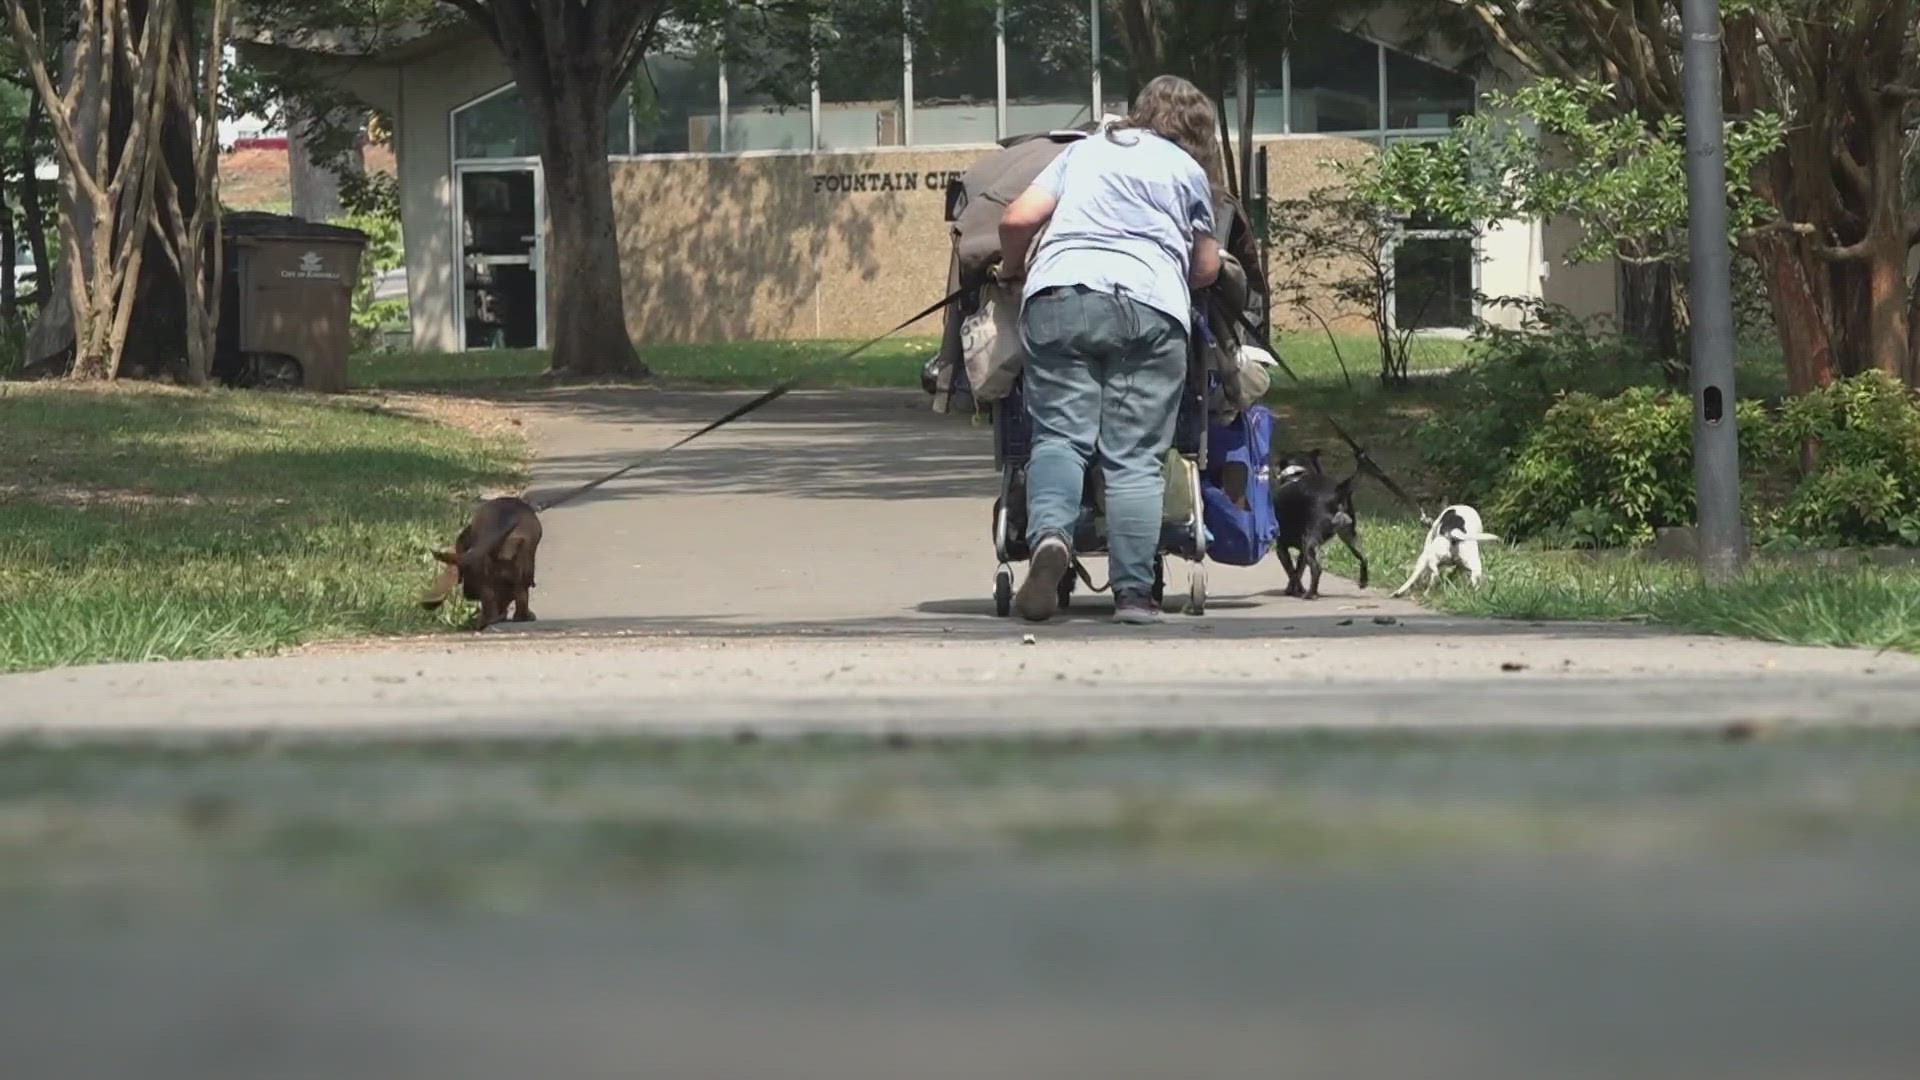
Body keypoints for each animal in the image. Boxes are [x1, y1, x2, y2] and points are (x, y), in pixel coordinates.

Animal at [1274, 445, 1367, 595]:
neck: (1297, 474)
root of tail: (1338, 490)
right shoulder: (1301, 552)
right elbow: (1298, 570)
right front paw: (1296, 588)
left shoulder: (1281, 548)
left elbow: (1292, 572)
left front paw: (1293, 589)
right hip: (1349, 535)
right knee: (1363, 557)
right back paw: (1363, 581)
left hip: (1310, 540)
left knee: (1316, 568)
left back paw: (1310, 594)